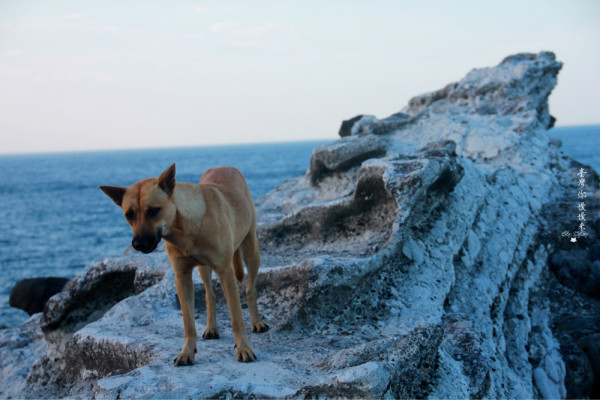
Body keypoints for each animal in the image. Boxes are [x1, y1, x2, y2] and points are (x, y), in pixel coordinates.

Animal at [100, 164, 268, 364]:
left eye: (154, 210)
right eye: (129, 215)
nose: (138, 244)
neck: (185, 228)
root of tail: (225, 167)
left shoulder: (226, 272)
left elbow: (236, 318)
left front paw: (243, 348)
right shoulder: (182, 278)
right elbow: (188, 322)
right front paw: (187, 352)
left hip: (251, 251)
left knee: (250, 288)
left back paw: (256, 321)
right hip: (204, 269)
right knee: (209, 294)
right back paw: (212, 327)